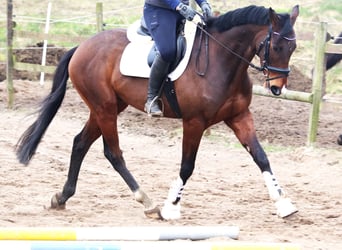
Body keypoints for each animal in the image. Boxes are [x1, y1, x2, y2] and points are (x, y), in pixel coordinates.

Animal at [16, 5, 300, 219]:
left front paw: (284, 204)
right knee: (113, 153)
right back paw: (148, 202)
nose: (277, 88)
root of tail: (81, 47)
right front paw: (171, 207)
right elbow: (187, 166)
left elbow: (261, 157)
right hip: (104, 108)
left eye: (293, 48)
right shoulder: (194, 122)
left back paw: (61, 197)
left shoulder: (239, 117)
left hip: (108, 107)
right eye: (276, 46)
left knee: (80, 143)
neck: (222, 61)